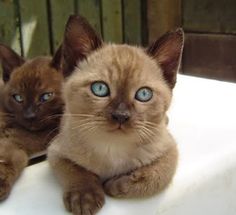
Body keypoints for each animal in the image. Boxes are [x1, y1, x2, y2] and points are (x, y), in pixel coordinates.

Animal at [47, 15, 184, 215]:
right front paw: (84, 197)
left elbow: (155, 178)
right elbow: (77, 172)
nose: (121, 115)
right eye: (100, 89)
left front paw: (115, 185)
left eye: (144, 94)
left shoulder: (169, 151)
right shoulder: (56, 153)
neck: (112, 147)